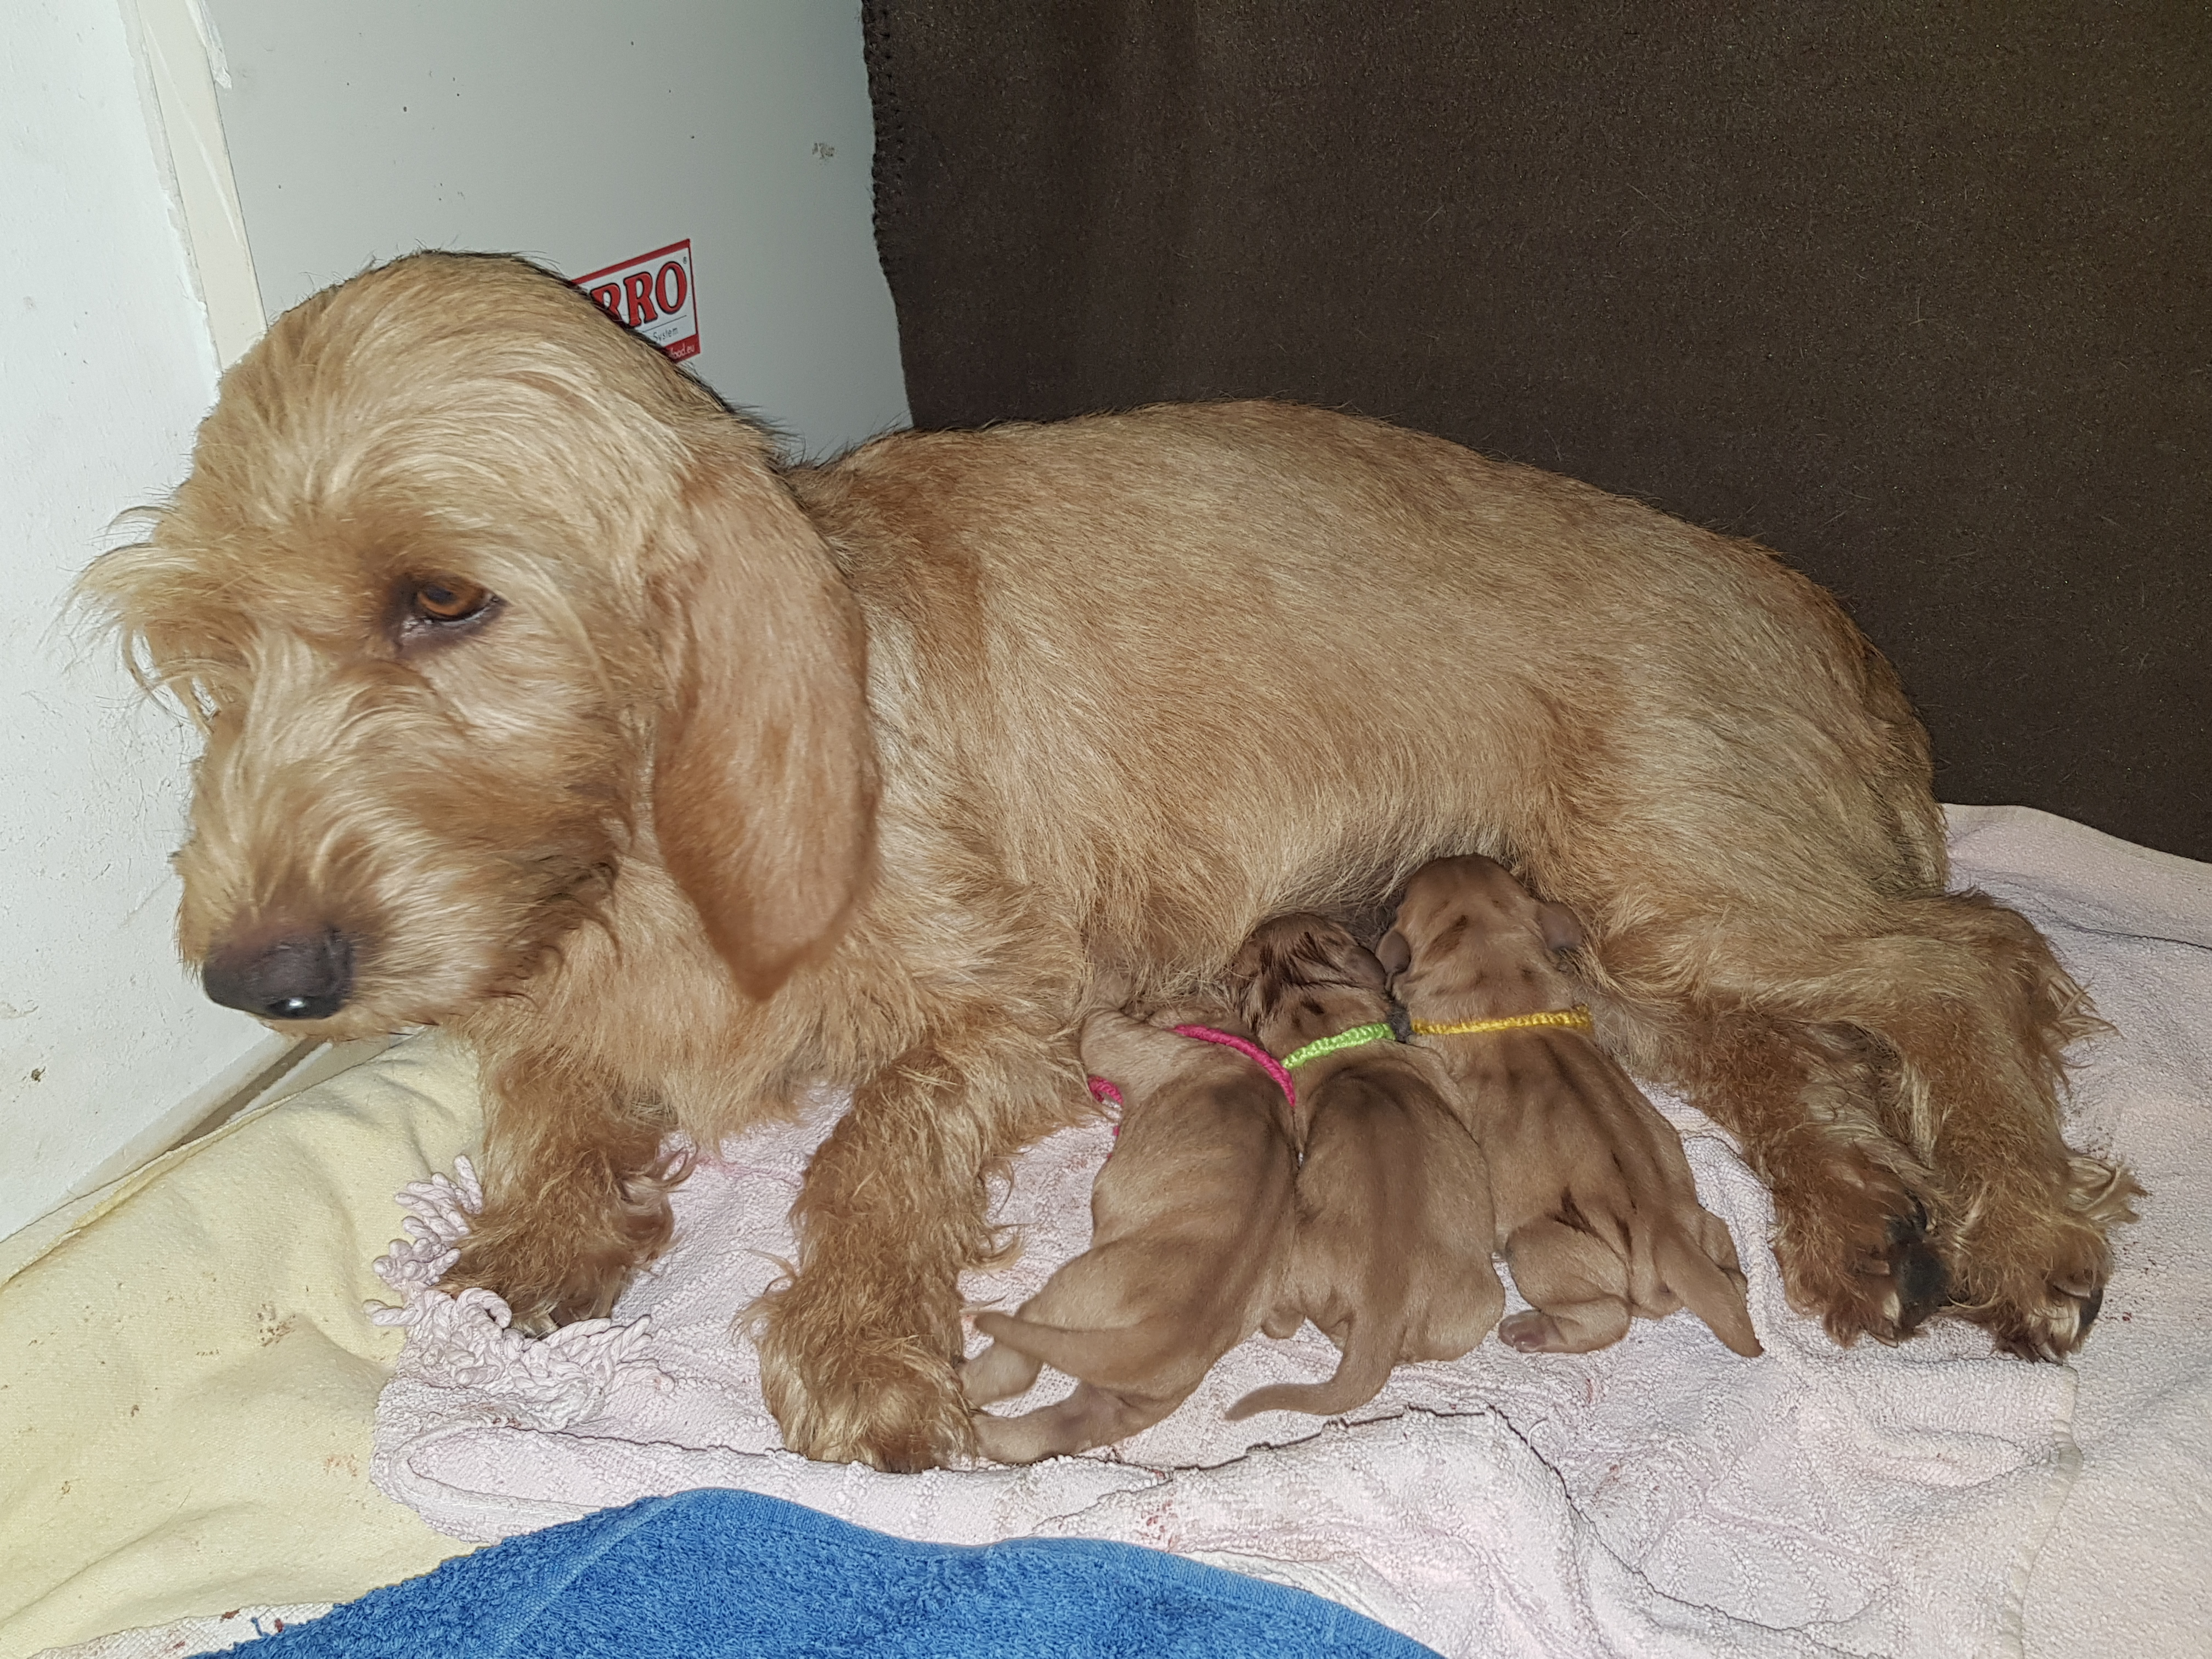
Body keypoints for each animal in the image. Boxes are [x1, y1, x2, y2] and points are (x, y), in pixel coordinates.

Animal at [959, 1007, 1299, 1461]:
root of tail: (1164, 1337)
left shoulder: (1112, 1035)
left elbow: (1095, 1026)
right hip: (1127, 1402)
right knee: (1056, 1430)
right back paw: (982, 1431)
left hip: (1065, 1300)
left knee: (1017, 1369)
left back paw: (955, 1385)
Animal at [1383, 858, 1762, 1358]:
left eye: (1405, 896)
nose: (1449, 856)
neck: (1502, 987)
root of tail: (1668, 1234)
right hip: (1706, 1224)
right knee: (1732, 1276)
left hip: (1539, 1248)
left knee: (1607, 1317)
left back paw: (1530, 1330)